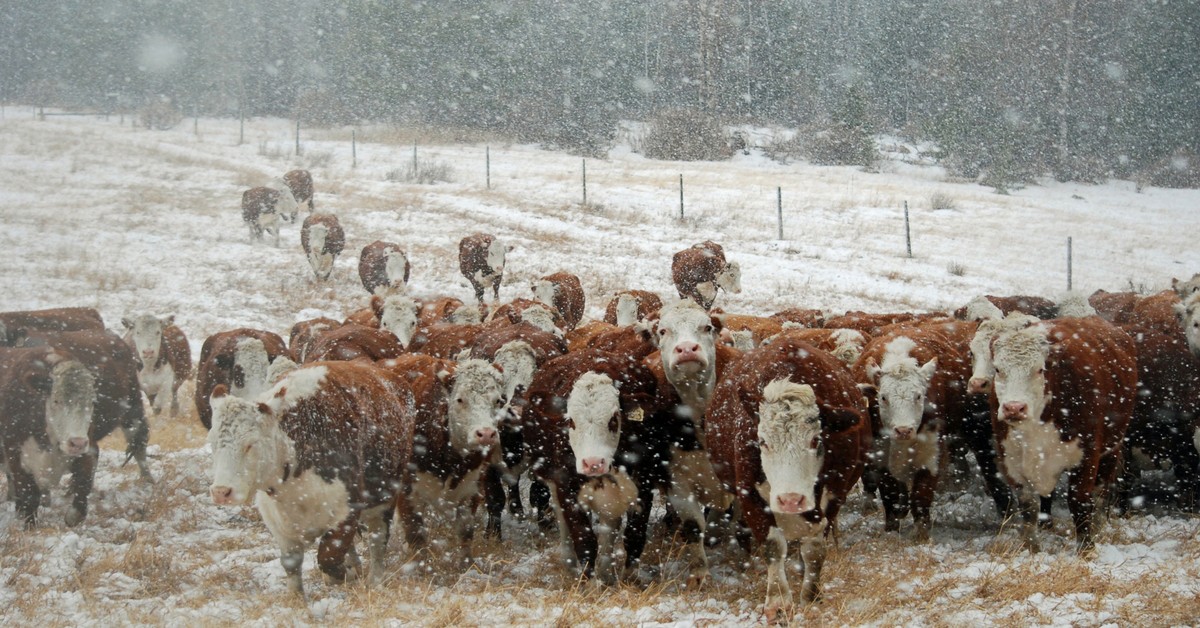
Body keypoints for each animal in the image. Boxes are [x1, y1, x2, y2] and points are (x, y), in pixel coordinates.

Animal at [0, 345, 96, 528]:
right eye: (56, 401)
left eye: (91, 402)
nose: (77, 443)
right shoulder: (17, 458)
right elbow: (29, 496)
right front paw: (30, 527)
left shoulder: (89, 450)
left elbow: (84, 482)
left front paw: (73, 515)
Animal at [213, 360, 420, 597]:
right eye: (212, 441)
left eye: (250, 444)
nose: (221, 492)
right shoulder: (278, 523)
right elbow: (291, 563)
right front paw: (297, 599)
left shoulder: (346, 510)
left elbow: (329, 557)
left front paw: (346, 574)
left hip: (385, 497)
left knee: (378, 538)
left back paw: (373, 580)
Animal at [518, 348, 667, 585]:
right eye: (570, 421)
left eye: (614, 419)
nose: (593, 463)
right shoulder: (566, 487)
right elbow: (584, 539)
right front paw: (588, 583)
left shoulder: (644, 483)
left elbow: (634, 535)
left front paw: (629, 577)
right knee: (562, 519)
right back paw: (570, 564)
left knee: (609, 526)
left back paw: (606, 572)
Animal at [700, 338, 873, 619]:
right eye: (762, 441)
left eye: (816, 440)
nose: (790, 500)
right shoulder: (750, 494)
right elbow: (773, 546)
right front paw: (778, 601)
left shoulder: (833, 495)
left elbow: (815, 549)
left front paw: (811, 596)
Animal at [988, 319, 1137, 549]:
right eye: (997, 369)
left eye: (1040, 370)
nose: (1014, 408)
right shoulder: (1011, 461)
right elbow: (1029, 507)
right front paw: (1032, 549)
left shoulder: (1086, 457)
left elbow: (1079, 502)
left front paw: (1086, 548)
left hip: (1112, 446)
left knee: (1100, 492)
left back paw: (1099, 527)